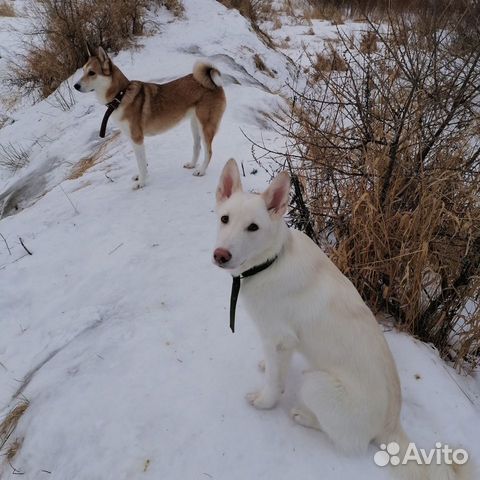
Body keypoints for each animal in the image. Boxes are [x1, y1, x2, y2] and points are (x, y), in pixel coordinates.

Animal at [73, 47, 227, 189]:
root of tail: (213, 83)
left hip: (206, 126)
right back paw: (192, 164)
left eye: (91, 73)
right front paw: (142, 177)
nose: (75, 86)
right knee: (197, 146)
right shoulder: (133, 139)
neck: (120, 95)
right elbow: (142, 162)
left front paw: (141, 182)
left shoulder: (137, 138)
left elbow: (141, 163)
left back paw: (201, 170)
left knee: (209, 151)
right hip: (195, 124)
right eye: (83, 71)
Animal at [212, 159, 470, 478]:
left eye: (253, 227)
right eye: (225, 219)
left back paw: (304, 416)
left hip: (315, 384)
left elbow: (274, 383)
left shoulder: (280, 339)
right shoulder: (279, 342)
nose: (220, 255)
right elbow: (272, 366)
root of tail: (392, 425)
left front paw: (263, 403)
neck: (271, 262)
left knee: (347, 440)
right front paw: (264, 364)